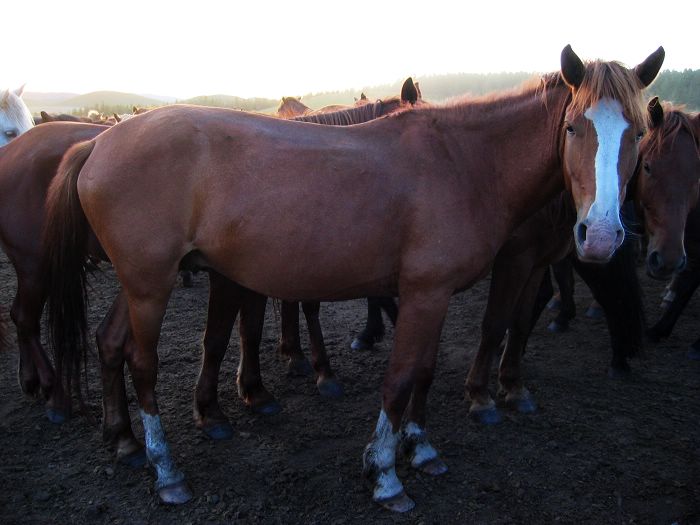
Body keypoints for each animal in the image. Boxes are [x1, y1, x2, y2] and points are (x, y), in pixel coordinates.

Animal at [42, 47, 660, 510]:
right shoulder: (424, 293)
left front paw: (421, 448)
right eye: (575, 127)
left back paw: (124, 440)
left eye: (638, 134)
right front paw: (385, 473)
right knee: (141, 362)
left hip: (139, 283)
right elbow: (400, 378)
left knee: (109, 342)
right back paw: (166, 470)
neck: (462, 161)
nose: (600, 236)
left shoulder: (433, 297)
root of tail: (98, 141)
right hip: (151, 285)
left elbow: (425, 372)